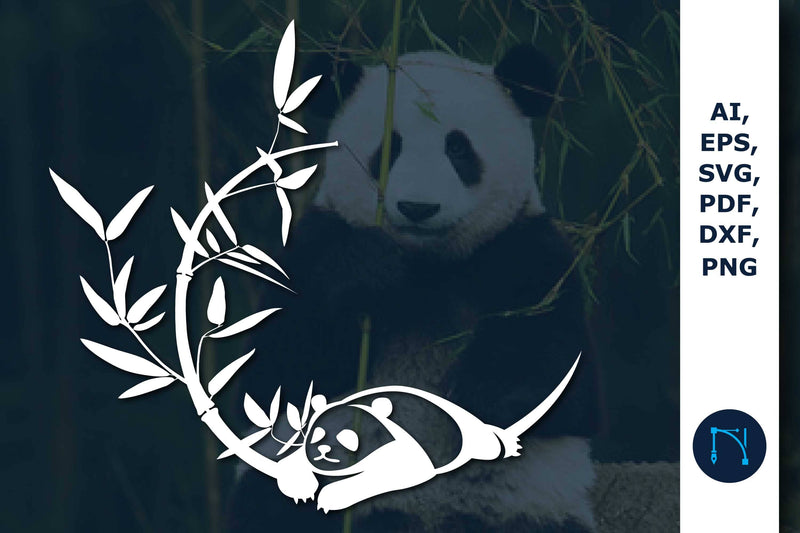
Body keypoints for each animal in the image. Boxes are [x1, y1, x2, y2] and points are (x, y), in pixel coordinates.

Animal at [228, 45, 600, 532]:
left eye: (458, 148)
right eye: (390, 149)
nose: (418, 208)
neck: (429, 269)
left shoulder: (526, 251)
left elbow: (564, 382)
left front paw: (478, 392)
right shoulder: (314, 245)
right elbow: (275, 375)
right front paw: (367, 270)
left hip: (527, 506)